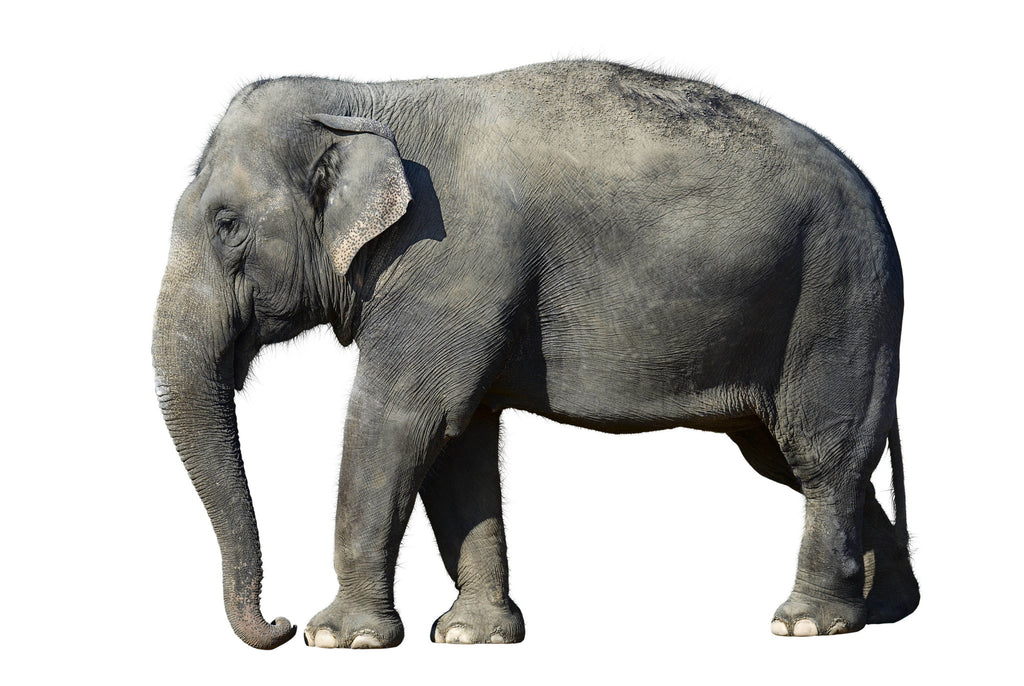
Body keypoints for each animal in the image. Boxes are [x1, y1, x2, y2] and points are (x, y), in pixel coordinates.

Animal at [153, 60, 919, 650]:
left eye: (227, 225)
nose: (277, 624)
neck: (364, 96)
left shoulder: (447, 259)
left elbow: (402, 421)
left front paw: (341, 639)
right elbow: (459, 444)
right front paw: (472, 636)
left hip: (839, 297)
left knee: (821, 453)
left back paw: (807, 624)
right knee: (801, 458)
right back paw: (883, 610)